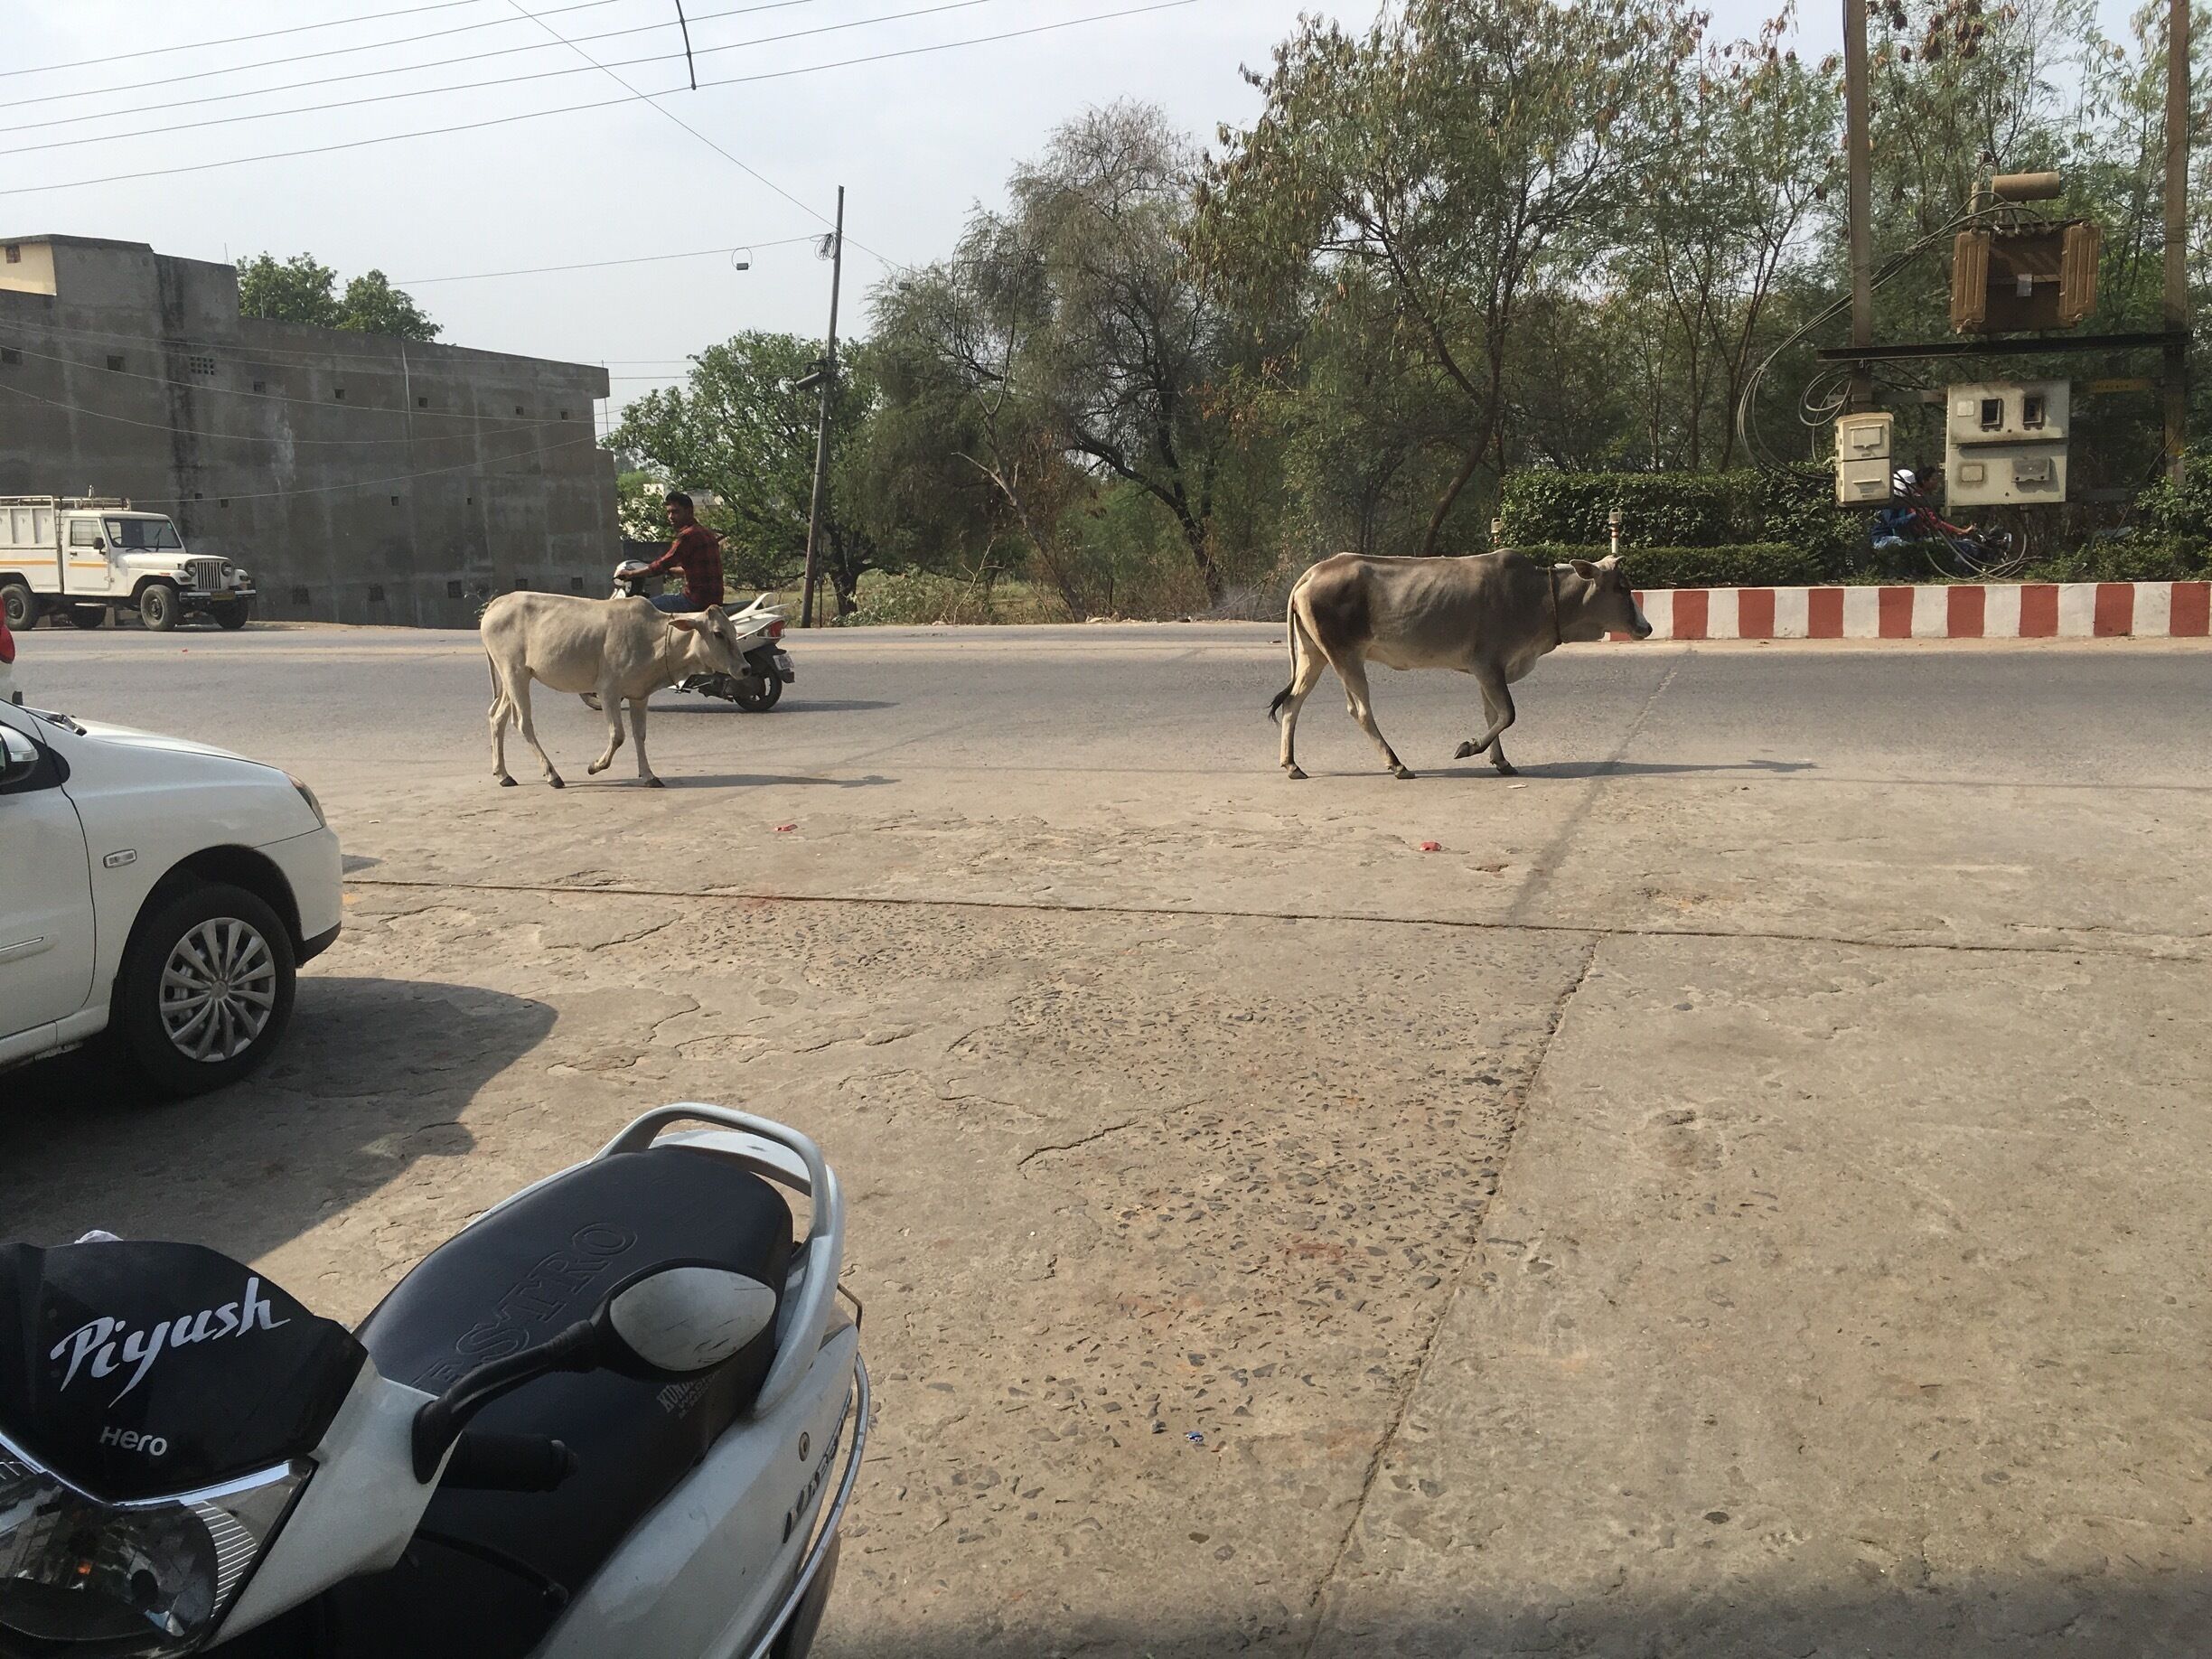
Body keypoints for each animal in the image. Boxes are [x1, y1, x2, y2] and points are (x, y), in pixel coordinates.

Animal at [481, 593, 758, 789]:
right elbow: (618, 735)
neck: (653, 637)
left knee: (497, 717)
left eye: (734, 631)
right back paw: (552, 775)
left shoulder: (639, 695)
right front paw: (595, 766)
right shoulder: (608, 691)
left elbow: (640, 735)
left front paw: (649, 775)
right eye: (718, 633)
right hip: (515, 673)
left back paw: (503, 775)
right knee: (523, 723)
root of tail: (496, 604)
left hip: (511, 678)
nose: (745, 669)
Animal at [1268, 550, 1652, 780]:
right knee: (1359, 710)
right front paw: (1469, 748)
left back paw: (1291, 764)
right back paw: (1396, 764)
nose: (1645, 627)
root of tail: (1311, 573)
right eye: (1620, 588)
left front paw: (1501, 761)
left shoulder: (1488, 672)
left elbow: (1494, 714)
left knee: (1293, 702)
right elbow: (1508, 714)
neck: (1539, 596)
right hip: (1344, 655)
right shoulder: (1488, 665)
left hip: (1313, 655)